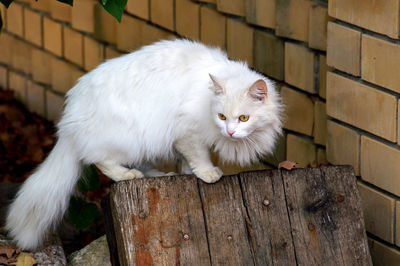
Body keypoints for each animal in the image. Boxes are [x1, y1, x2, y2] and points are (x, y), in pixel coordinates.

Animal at [5, 39, 282, 249]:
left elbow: (188, 163)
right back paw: (128, 175)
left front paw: (189, 174)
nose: (231, 132)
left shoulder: (183, 139)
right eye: (222, 117)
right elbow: (199, 156)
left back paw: (160, 174)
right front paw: (208, 173)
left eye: (243, 118)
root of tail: (69, 120)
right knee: (100, 161)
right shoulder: (188, 132)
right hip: (130, 140)